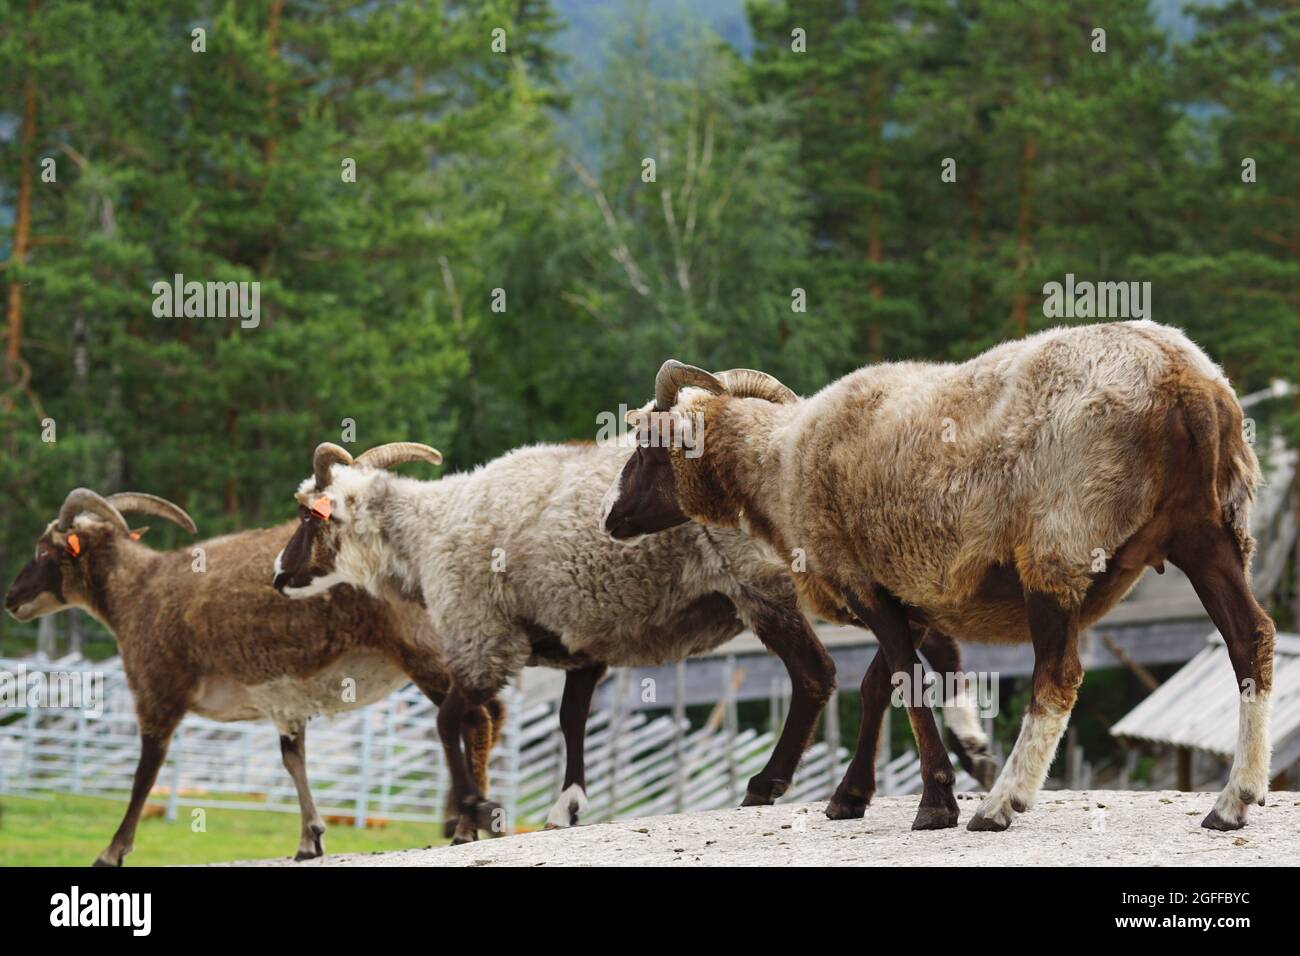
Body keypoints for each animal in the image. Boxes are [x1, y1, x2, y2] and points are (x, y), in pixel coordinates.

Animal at [3, 481, 501, 863]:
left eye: (45, 551)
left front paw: (111, 852)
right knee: (487, 716)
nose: (11, 599)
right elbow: (293, 759)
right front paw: (310, 840)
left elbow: (145, 774)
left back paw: (466, 827)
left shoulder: (158, 692)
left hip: (424, 652)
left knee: (475, 719)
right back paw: (476, 818)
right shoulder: (285, 698)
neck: (138, 593)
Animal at [276, 442, 993, 832]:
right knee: (920, 648)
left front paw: (476, 807)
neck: (427, 534)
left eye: (310, 519)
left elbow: (452, 716)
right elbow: (570, 720)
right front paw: (565, 806)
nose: (279, 576)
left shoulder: (484, 638)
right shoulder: (580, 644)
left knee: (821, 676)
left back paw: (769, 784)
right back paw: (968, 752)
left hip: (767, 583)